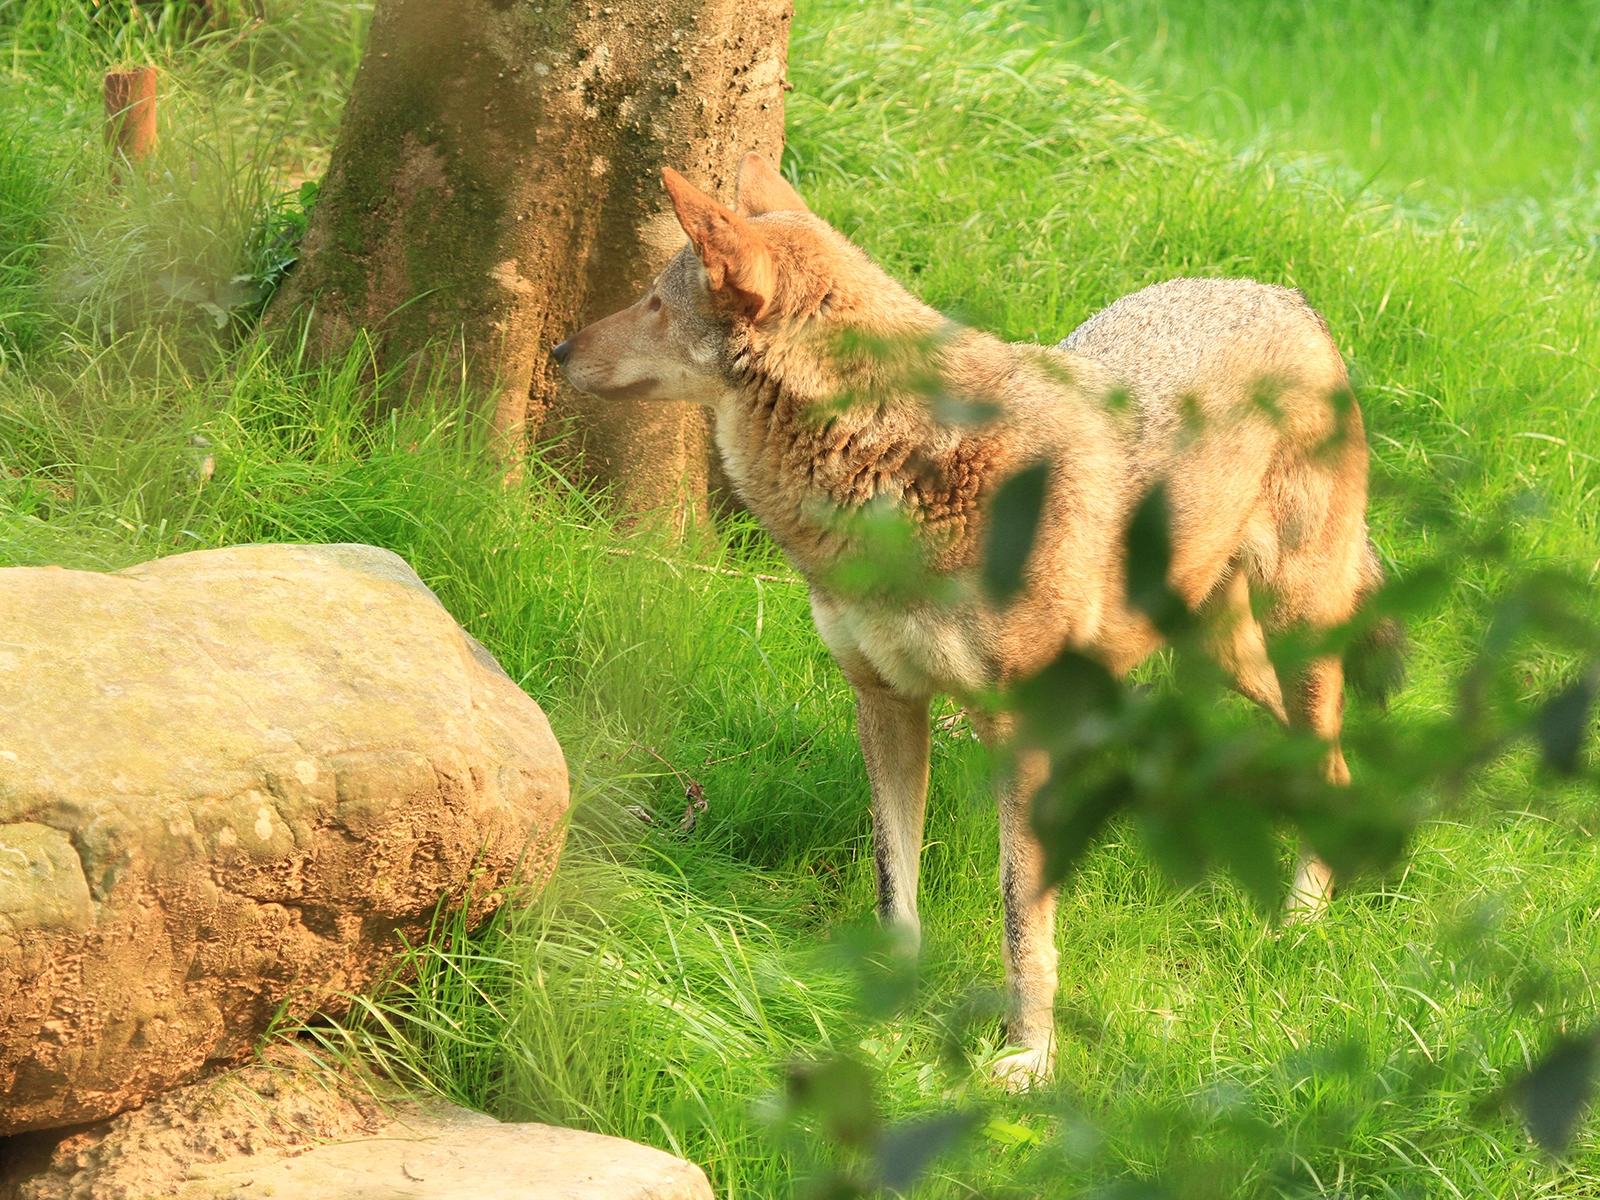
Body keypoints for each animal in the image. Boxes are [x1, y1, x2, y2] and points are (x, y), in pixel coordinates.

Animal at [553, 152, 1379, 1083]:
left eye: (654, 302)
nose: (556, 349)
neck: (889, 464)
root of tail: (1291, 296)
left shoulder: (1017, 730)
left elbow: (1022, 913)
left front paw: (1029, 1056)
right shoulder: (884, 702)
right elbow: (895, 891)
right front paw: (886, 1021)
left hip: (1289, 630)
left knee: (1332, 761)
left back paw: (1303, 920)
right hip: (1218, 653)